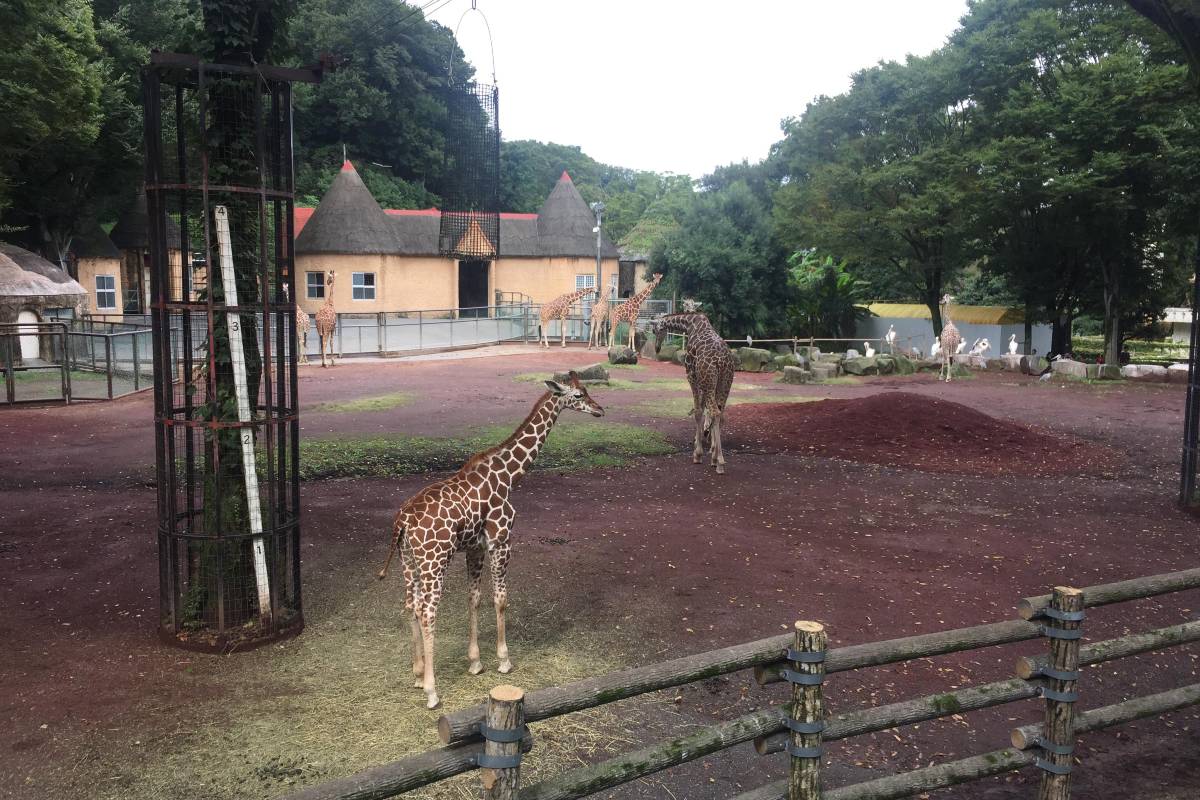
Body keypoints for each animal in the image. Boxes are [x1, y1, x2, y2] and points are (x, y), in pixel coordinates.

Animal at [376, 371, 604, 710]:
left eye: (587, 390)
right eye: (578, 395)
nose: (600, 409)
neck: (509, 476)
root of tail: (402, 522)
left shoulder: (474, 547)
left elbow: (474, 598)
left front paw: (475, 662)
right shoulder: (502, 539)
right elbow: (500, 598)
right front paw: (504, 660)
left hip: (409, 561)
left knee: (411, 605)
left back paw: (417, 674)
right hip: (434, 561)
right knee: (428, 611)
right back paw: (432, 691)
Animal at [652, 311, 734, 474]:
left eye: (655, 330)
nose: (657, 348)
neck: (691, 324)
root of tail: (722, 361)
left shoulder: (691, 374)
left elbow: (697, 411)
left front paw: (698, 454)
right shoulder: (703, 382)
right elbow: (703, 410)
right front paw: (707, 450)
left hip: (709, 382)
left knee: (714, 412)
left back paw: (720, 462)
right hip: (724, 384)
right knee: (720, 414)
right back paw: (716, 458)